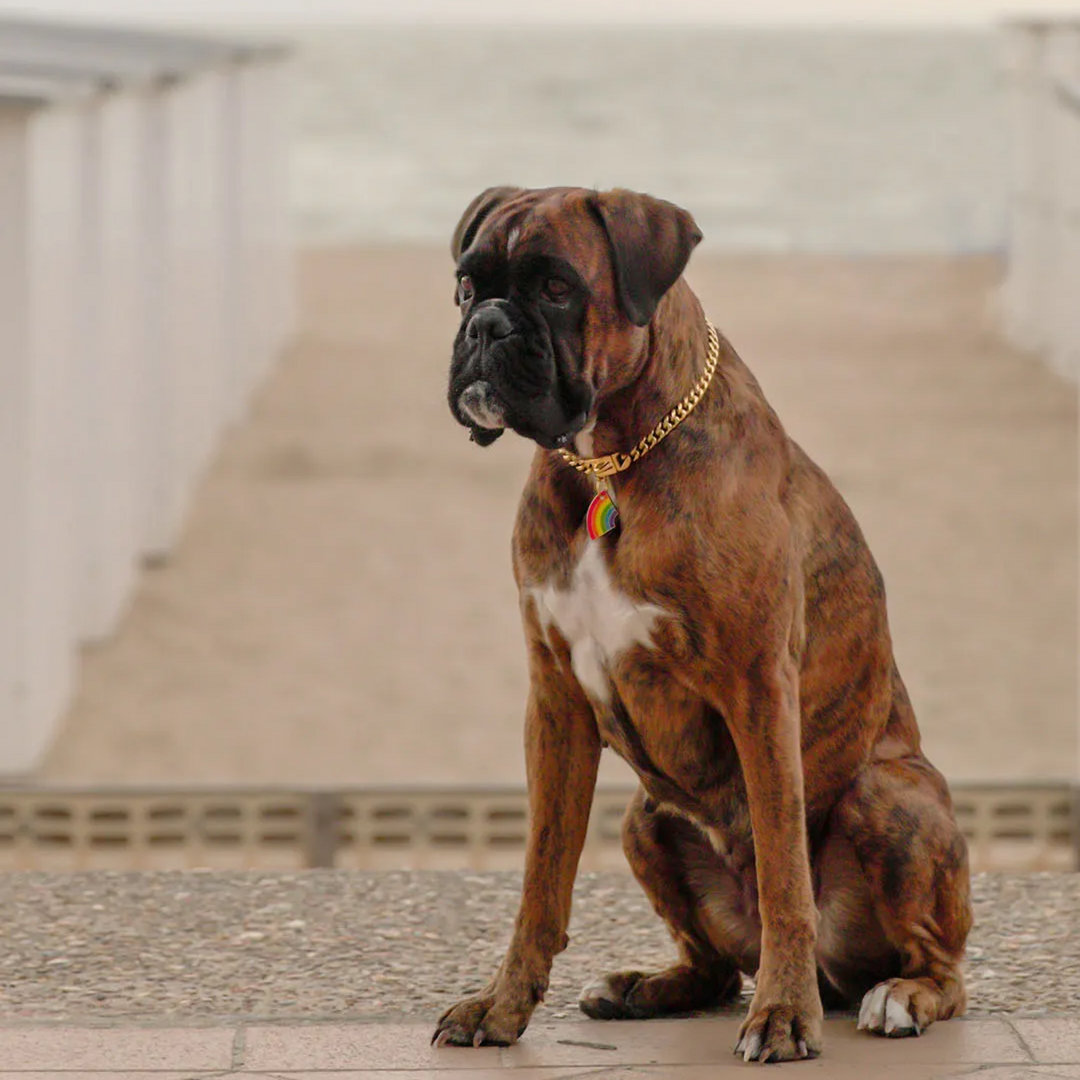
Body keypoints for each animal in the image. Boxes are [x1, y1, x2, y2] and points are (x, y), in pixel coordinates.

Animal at [429, 185, 972, 1062]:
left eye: (556, 288)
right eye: (467, 287)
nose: (487, 326)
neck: (609, 462)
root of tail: (840, 977)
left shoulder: (759, 692)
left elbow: (785, 873)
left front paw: (782, 1017)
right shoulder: (555, 702)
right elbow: (541, 881)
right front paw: (501, 1008)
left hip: (889, 796)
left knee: (938, 965)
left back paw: (896, 996)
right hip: (647, 818)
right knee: (714, 968)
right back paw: (644, 986)